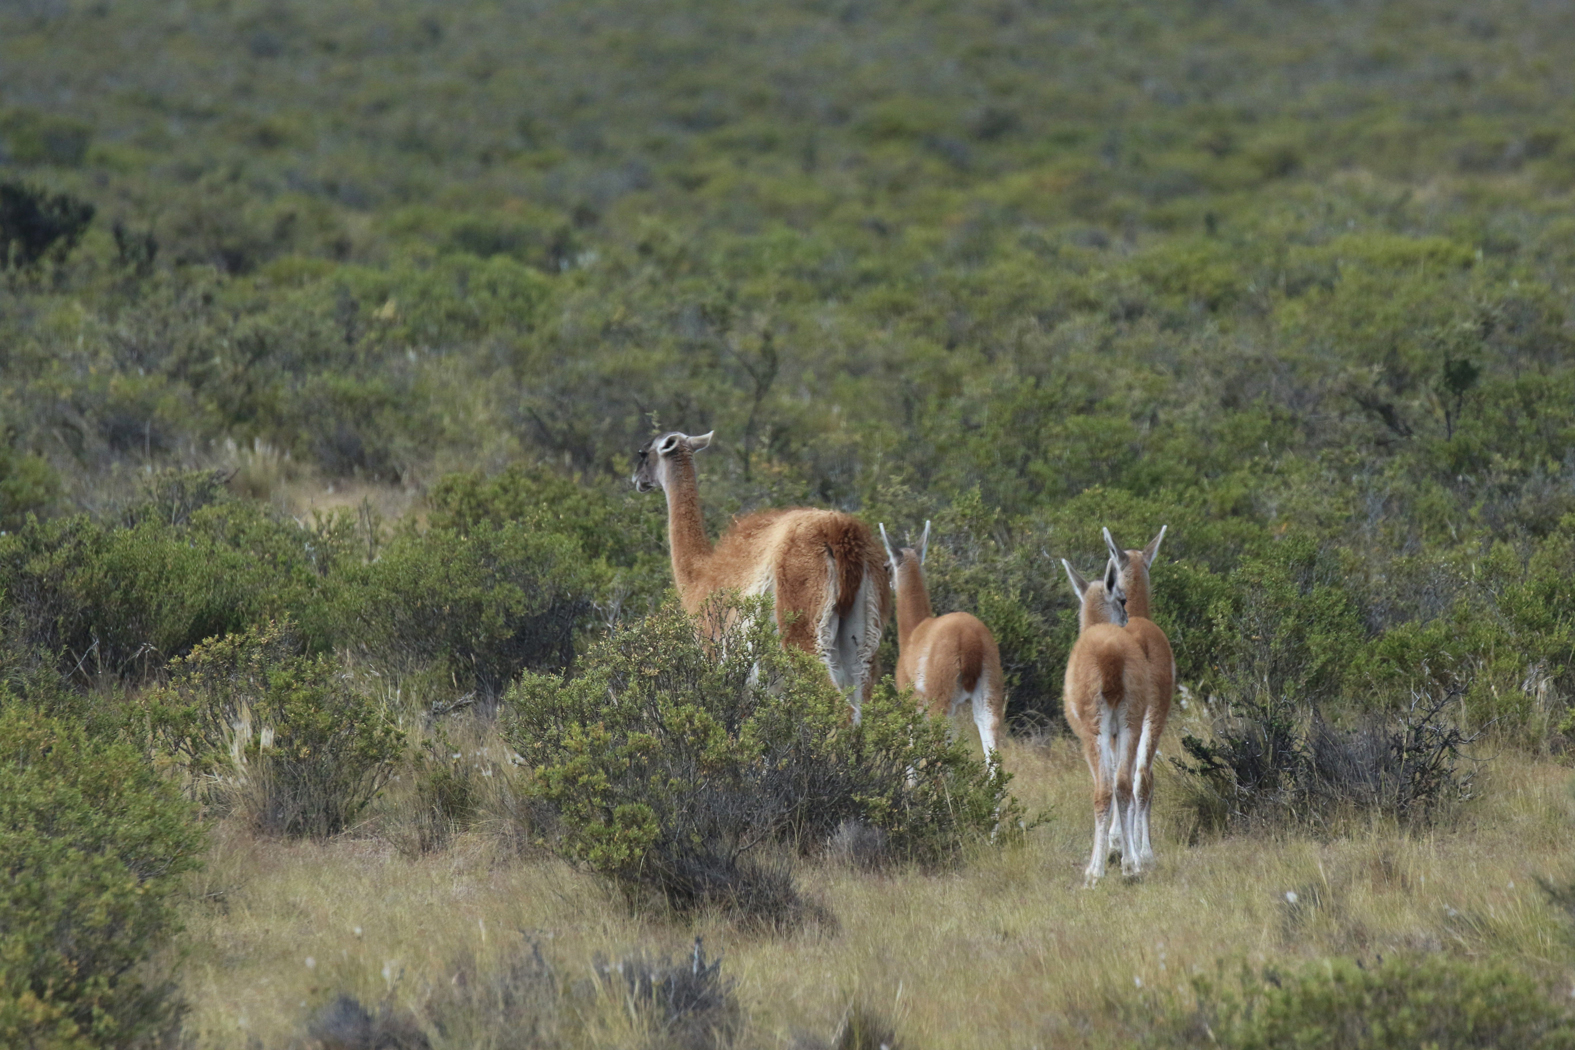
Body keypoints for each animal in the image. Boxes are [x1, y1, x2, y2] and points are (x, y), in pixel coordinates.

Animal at [631, 430, 890, 717]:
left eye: (643, 452)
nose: (637, 479)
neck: (699, 574)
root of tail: (841, 533)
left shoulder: (714, 650)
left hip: (805, 626)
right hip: (863, 638)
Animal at [878, 521, 1006, 767]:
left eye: (886, 566)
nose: (885, 579)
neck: (913, 632)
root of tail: (970, 638)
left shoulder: (911, 699)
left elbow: (911, 753)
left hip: (941, 699)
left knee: (939, 757)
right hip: (989, 691)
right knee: (992, 752)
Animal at [1061, 553, 1150, 886]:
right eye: (1122, 600)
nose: (1125, 618)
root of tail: (1111, 654)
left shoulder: (1094, 735)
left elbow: (1105, 784)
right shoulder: (1116, 733)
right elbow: (1119, 781)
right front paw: (1125, 854)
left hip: (1094, 727)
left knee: (1102, 791)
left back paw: (1094, 871)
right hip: (1130, 722)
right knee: (1124, 784)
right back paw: (1131, 865)